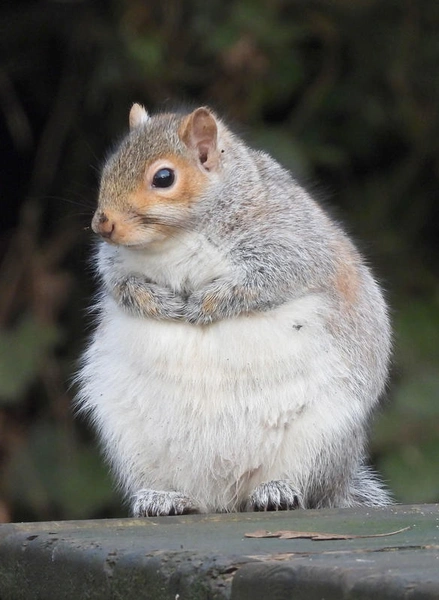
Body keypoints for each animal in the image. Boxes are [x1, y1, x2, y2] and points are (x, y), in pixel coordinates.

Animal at [75, 104, 392, 516]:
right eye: (109, 166)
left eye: (163, 177)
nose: (103, 224)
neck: (176, 238)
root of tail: (224, 497)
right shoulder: (115, 263)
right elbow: (122, 286)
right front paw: (160, 302)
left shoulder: (291, 242)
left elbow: (263, 281)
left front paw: (204, 304)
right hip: (131, 441)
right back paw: (162, 499)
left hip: (322, 437)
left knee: (303, 485)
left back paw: (276, 492)